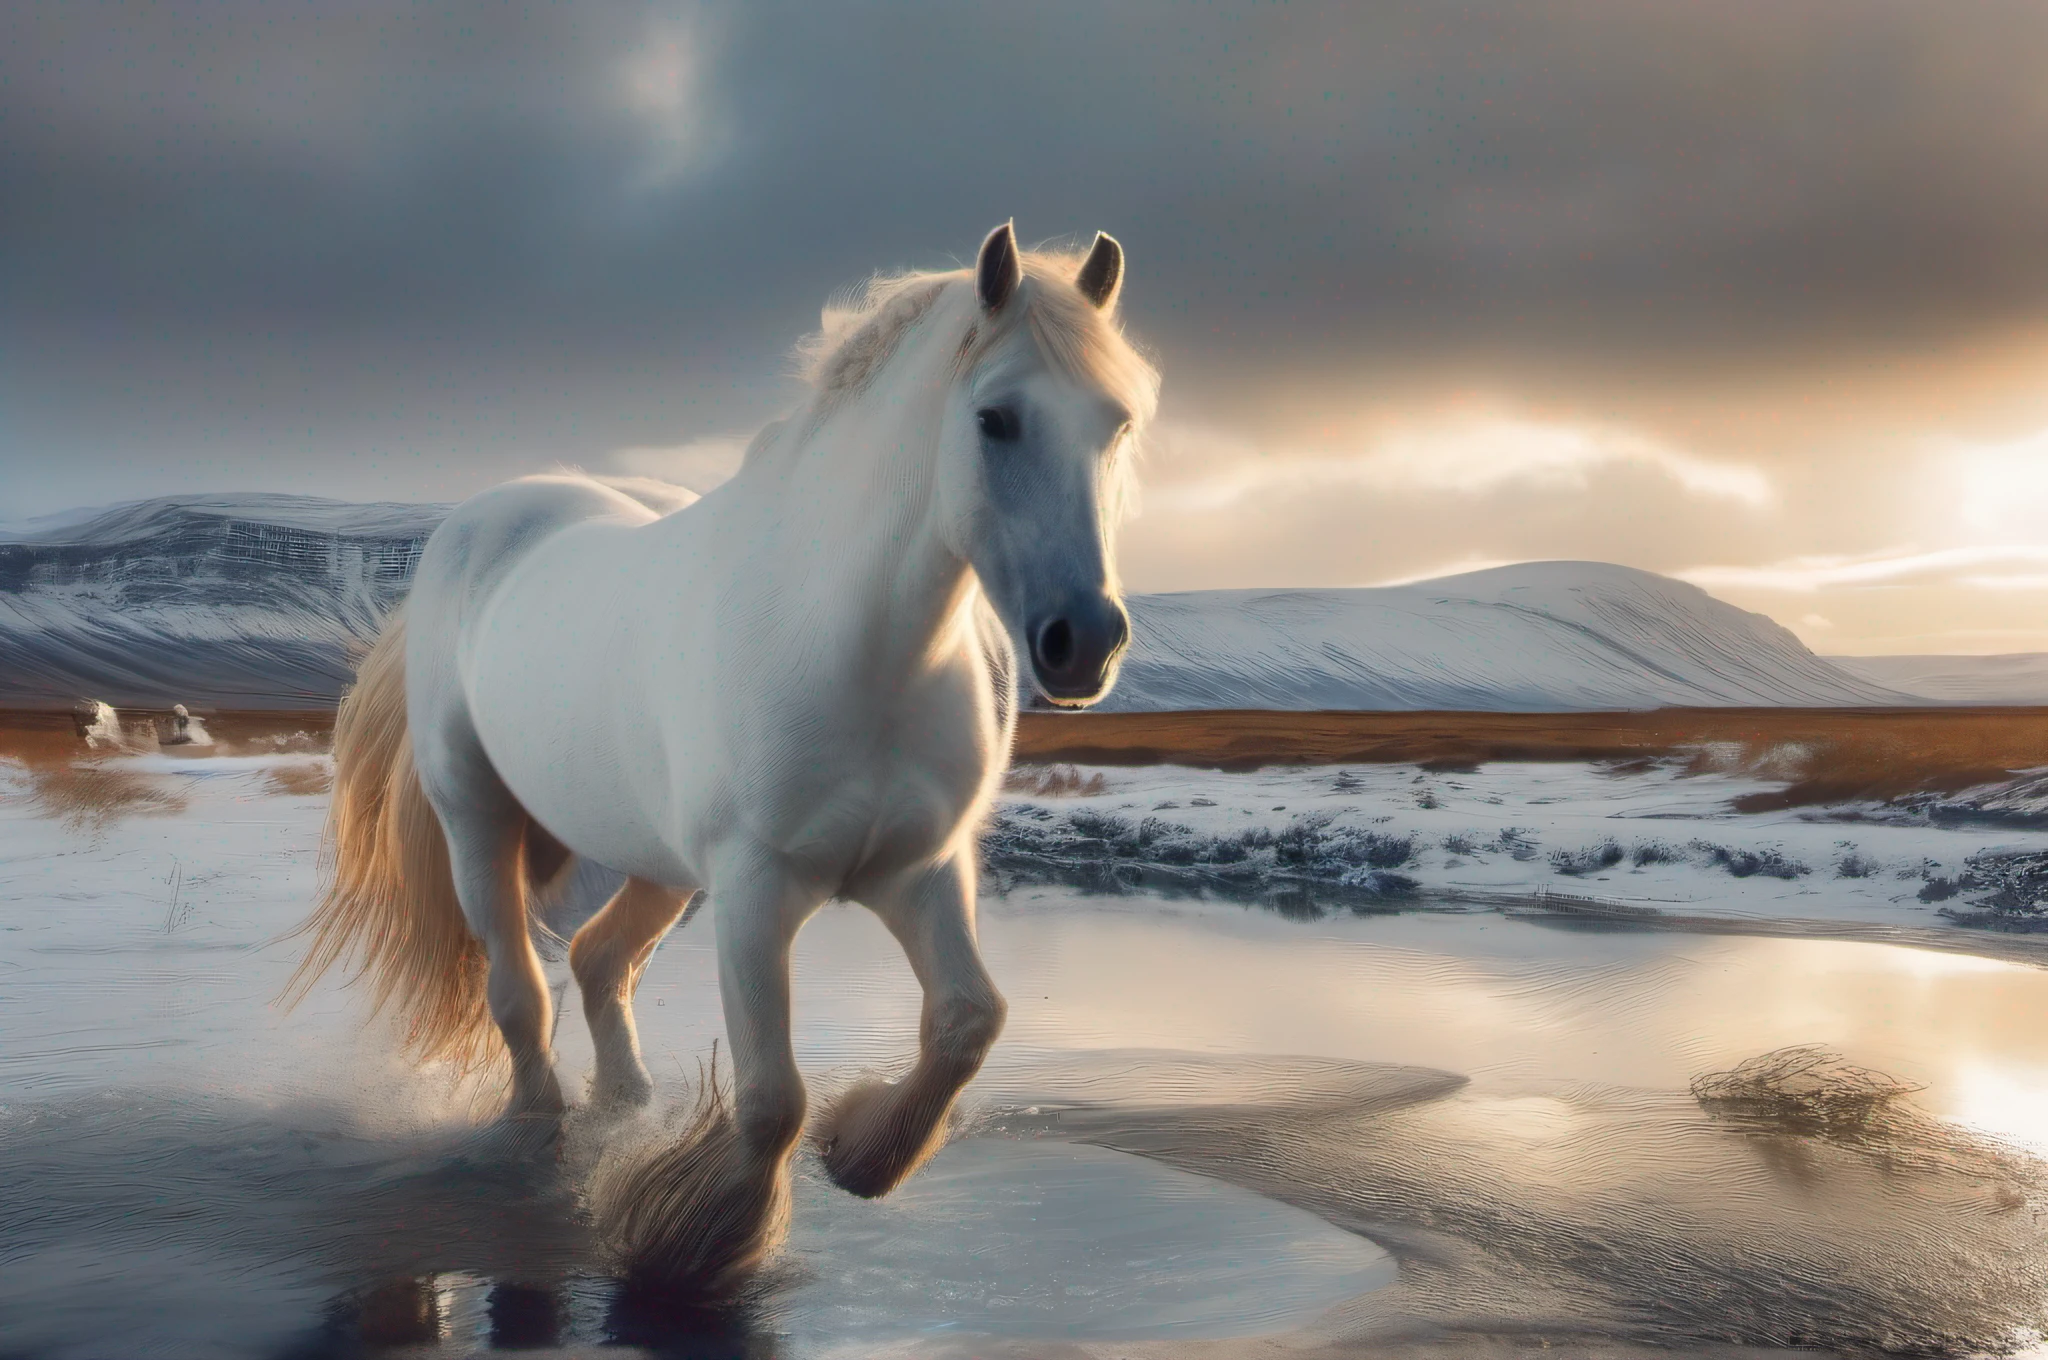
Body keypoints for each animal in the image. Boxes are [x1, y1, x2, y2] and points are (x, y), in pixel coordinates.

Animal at [285, 222, 1159, 1296]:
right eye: (996, 419)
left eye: (1116, 425)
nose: (1085, 643)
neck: (861, 648)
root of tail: (477, 523)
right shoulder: (755, 887)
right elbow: (772, 1096)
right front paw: (693, 1234)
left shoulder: (921, 871)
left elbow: (967, 1022)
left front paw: (861, 1154)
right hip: (477, 822)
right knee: (519, 992)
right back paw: (540, 1134)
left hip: (662, 863)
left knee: (598, 959)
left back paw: (623, 1109)